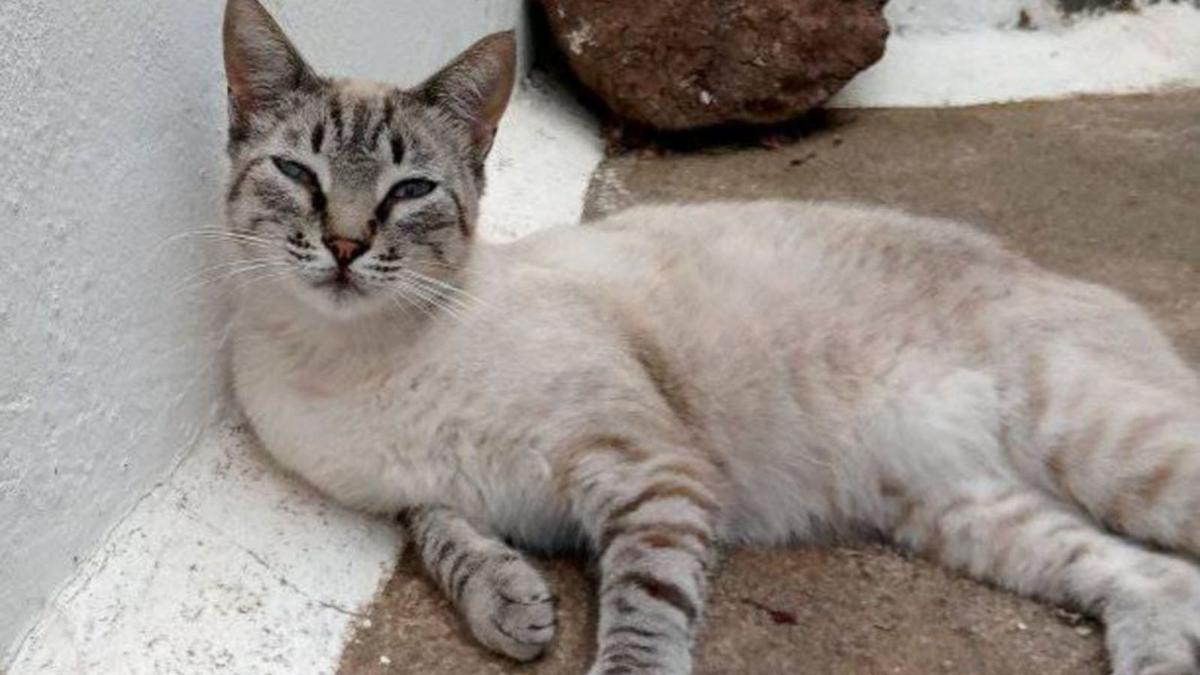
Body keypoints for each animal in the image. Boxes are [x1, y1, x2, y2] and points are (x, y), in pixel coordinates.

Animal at [220, 2, 1200, 667]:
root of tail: (1043, 267)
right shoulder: (418, 492)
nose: (347, 246)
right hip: (965, 514)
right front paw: (511, 604)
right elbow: (444, 537)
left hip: (1116, 453)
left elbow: (641, 623)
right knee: (1158, 579)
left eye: (409, 192)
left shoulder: (651, 468)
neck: (348, 363)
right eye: (298, 174)